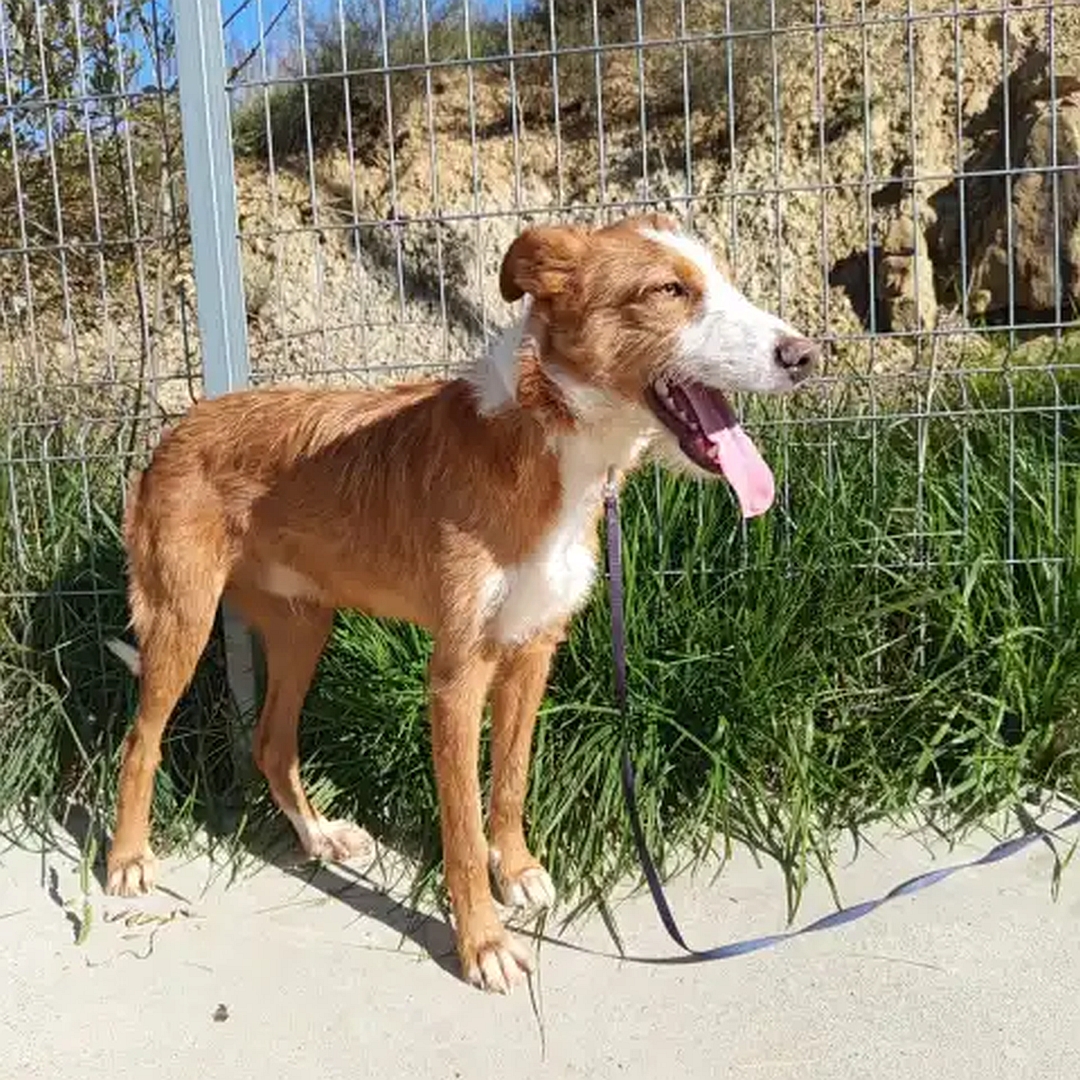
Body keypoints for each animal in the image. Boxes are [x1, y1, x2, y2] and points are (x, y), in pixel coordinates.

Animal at [105, 212, 812, 993]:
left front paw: (520, 869)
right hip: (184, 618)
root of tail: (177, 427)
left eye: (727, 283)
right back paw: (127, 860)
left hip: (303, 626)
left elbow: (510, 782)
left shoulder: (533, 650)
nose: (806, 355)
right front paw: (483, 942)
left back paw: (317, 834)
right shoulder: (455, 675)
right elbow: (463, 825)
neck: (546, 439)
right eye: (669, 290)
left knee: (271, 742)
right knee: (140, 741)